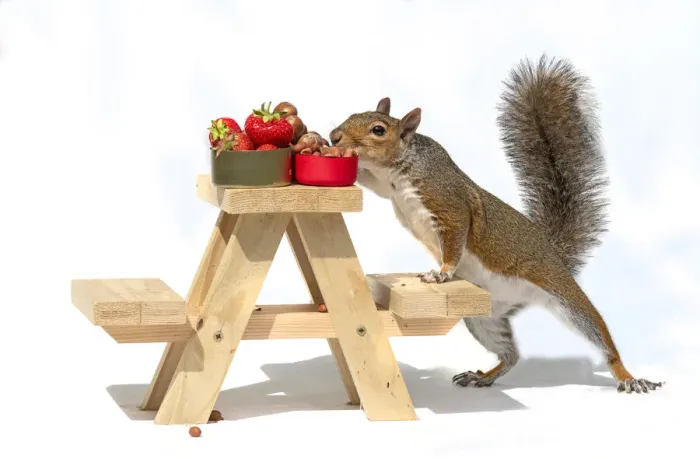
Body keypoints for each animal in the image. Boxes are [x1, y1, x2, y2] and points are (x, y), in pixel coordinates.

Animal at [328, 54, 663, 394]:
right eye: (352, 115)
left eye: (378, 130)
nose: (334, 136)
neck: (400, 168)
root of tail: (553, 253)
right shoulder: (385, 187)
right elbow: (369, 182)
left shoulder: (449, 205)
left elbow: (454, 241)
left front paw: (441, 272)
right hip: (483, 319)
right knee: (511, 355)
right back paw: (483, 375)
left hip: (566, 296)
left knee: (601, 338)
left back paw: (628, 377)